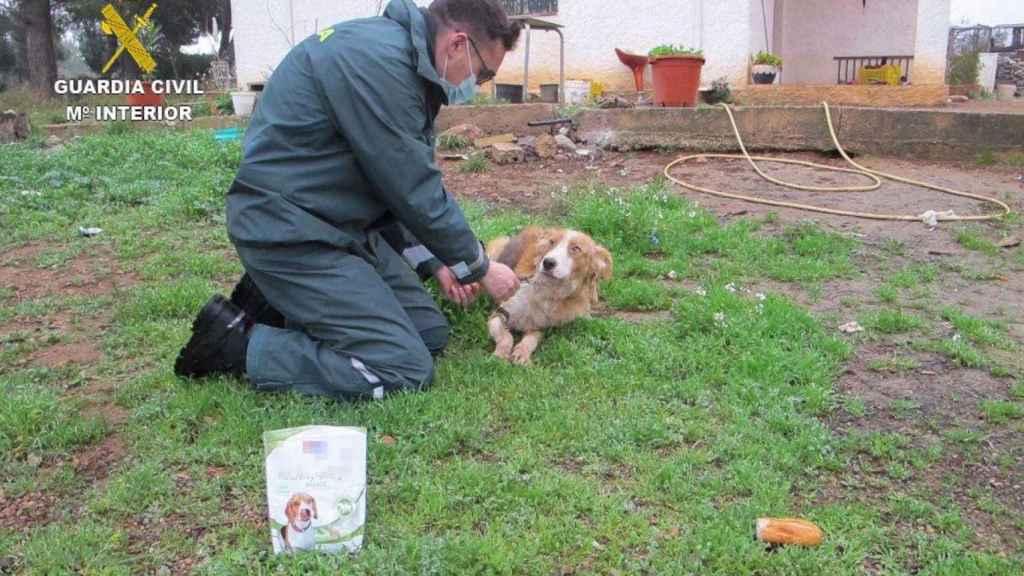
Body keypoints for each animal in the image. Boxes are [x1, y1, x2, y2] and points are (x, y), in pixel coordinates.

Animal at [485, 225, 610, 362]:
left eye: (576, 248)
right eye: (551, 242)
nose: (548, 263)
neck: (548, 291)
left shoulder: (537, 326)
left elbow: (531, 340)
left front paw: (522, 352)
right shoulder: (498, 314)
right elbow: (506, 336)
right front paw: (500, 353)